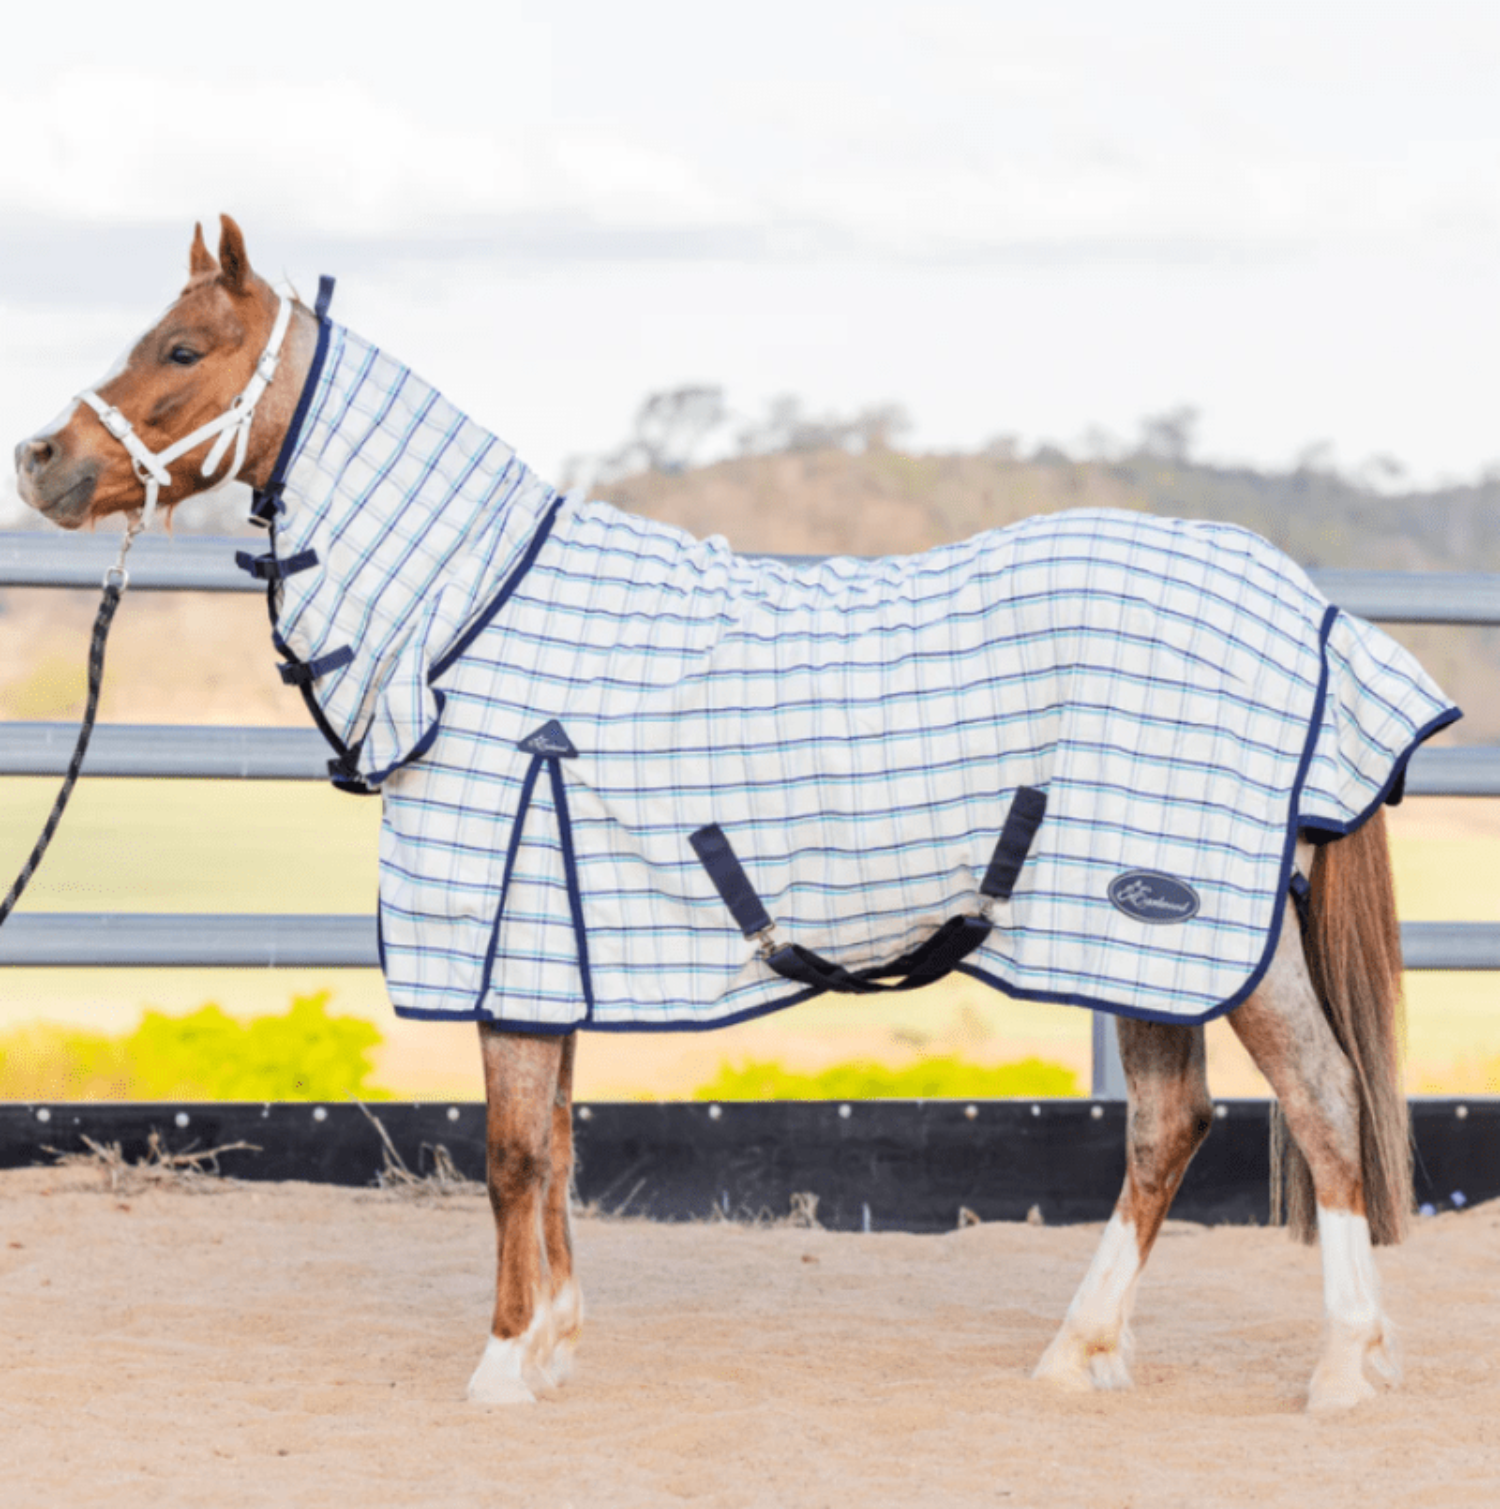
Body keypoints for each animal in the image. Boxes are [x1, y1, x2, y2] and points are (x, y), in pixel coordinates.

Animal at [14, 216, 1456, 1412]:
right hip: (1133, 948)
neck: (471, 614)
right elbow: (557, 1143)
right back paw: (1081, 1353)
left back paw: (1343, 1369)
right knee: (1170, 1126)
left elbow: (512, 1152)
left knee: (1322, 1100)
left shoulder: (504, 932)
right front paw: (555, 1344)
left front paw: (503, 1365)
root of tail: (1307, 607)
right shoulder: (556, 945)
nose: (41, 462)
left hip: (1197, 931)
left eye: (182, 347)